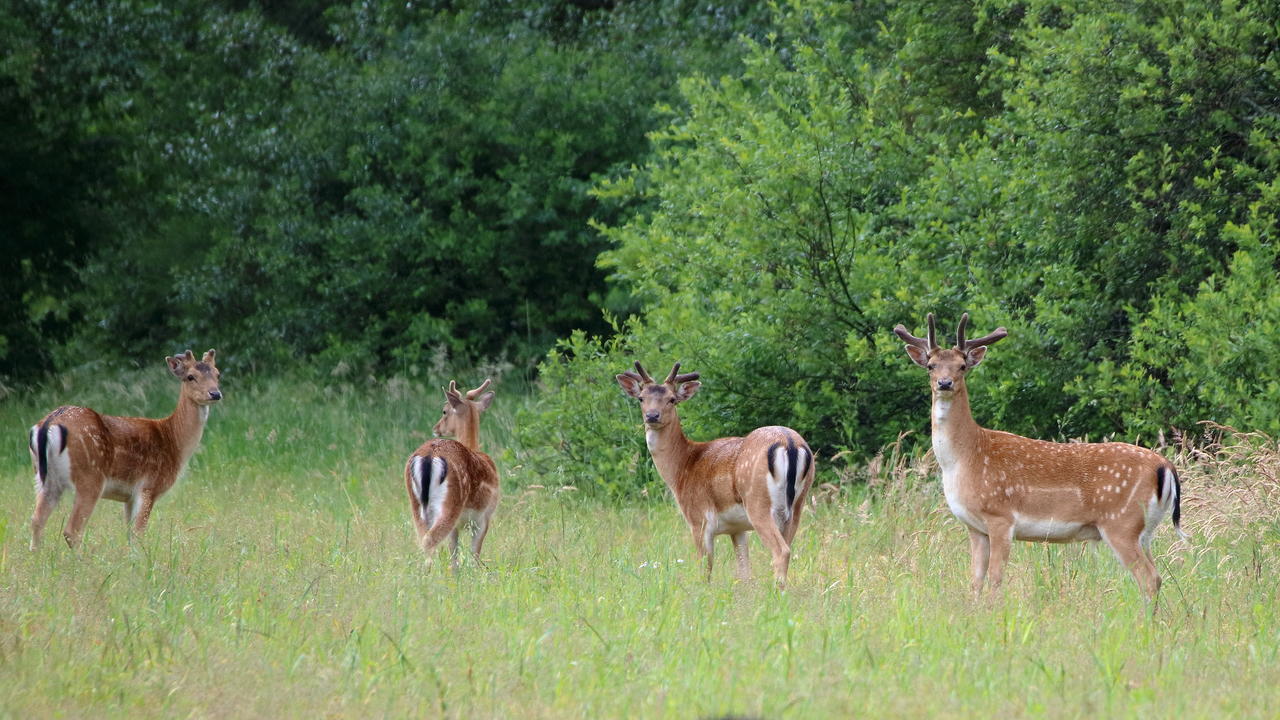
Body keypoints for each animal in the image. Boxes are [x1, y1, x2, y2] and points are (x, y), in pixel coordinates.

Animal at [27, 345, 224, 543]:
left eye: (218, 374)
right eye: (190, 376)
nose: (215, 394)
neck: (173, 441)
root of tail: (49, 423)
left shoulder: (129, 496)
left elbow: (129, 535)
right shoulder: (148, 486)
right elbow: (138, 533)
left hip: (45, 479)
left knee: (36, 521)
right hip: (89, 477)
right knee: (72, 530)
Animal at [404, 376, 499, 566]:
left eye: (444, 411)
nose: (436, 428)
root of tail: (429, 455)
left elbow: (454, 556)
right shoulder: (484, 517)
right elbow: (474, 555)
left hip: (417, 505)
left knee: (423, 538)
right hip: (451, 503)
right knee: (429, 540)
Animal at [614, 361, 814, 586]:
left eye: (672, 399)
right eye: (641, 398)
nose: (652, 416)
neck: (682, 468)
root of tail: (789, 443)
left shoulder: (698, 519)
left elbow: (705, 569)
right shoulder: (737, 528)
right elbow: (744, 572)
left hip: (758, 503)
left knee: (781, 551)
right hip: (797, 506)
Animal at [896, 311, 1182, 597]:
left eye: (962, 366)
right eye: (931, 365)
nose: (945, 383)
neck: (964, 459)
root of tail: (1165, 466)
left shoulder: (1001, 517)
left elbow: (996, 578)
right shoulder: (974, 527)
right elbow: (975, 581)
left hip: (1121, 522)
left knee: (1148, 578)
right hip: (1144, 530)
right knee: (1156, 576)